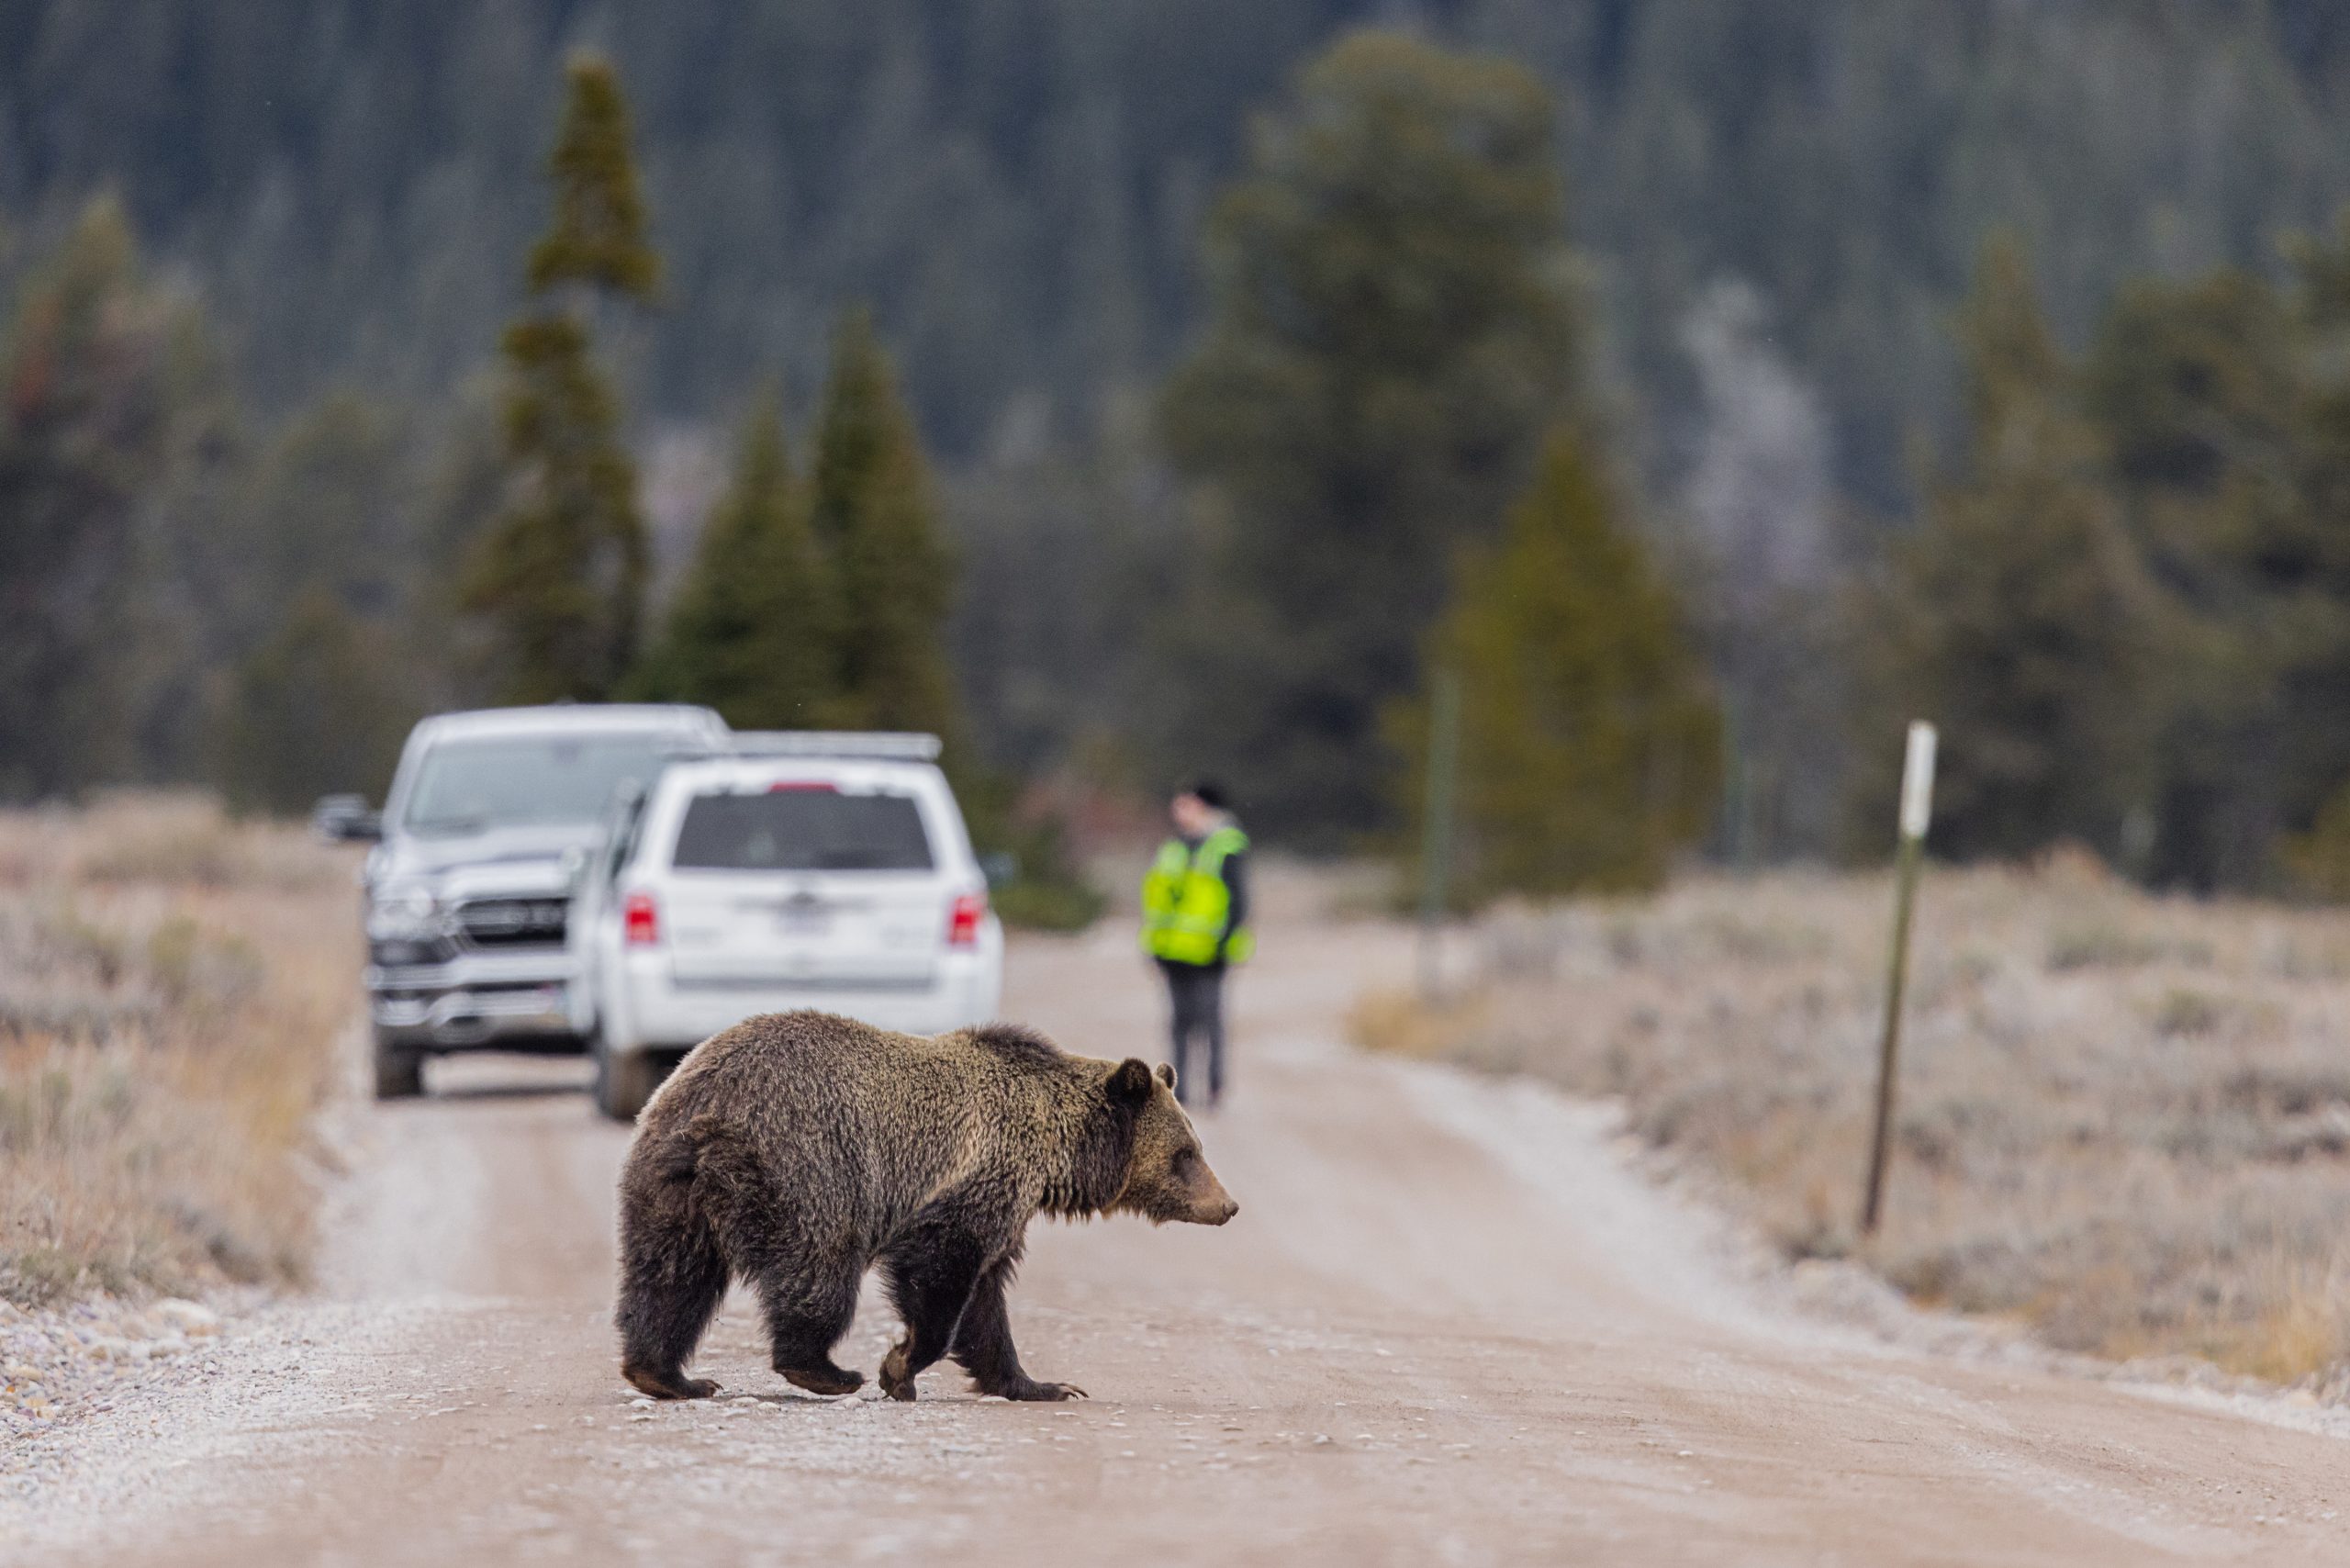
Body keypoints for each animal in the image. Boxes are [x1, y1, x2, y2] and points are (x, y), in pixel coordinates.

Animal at [613, 1009, 1239, 1403]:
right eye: (1186, 1153)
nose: (1228, 1205)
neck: (1057, 1150)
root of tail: (709, 1112)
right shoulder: (973, 1179)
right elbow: (941, 1276)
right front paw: (900, 1367)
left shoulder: (1004, 1205)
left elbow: (986, 1306)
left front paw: (1044, 1385)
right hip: (809, 1167)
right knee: (820, 1267)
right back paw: (825, 1370)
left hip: (667, 1186)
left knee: (670, 1277)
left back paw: (667, 1375)